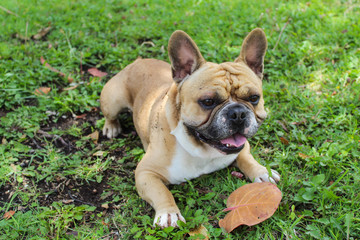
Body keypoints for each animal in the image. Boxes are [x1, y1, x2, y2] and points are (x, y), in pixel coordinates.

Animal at [100, 27, 280, 227]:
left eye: (254, 98)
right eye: (208, 101)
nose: (238, 113)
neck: (202, 150)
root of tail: (138, 61)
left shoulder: (241, 146)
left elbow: (247, 158)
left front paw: (262, 172)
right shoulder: (146, 172)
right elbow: (162, 191)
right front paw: (168, 212)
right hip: (113, 100)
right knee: (110, 115)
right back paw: (111, 127)